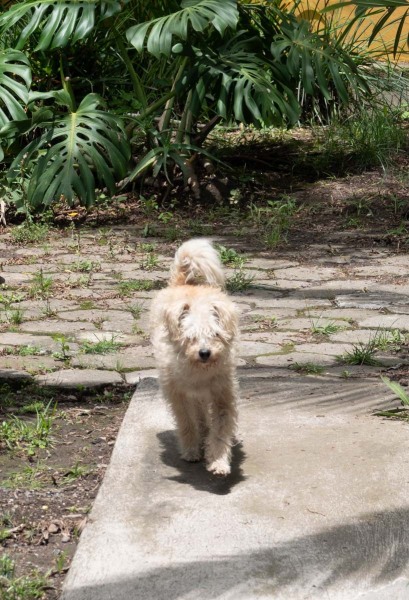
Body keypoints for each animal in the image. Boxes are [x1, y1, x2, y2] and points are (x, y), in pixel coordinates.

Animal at [151, 239, 239, 478]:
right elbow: (187, 423)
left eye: (215, 334)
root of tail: (184, 283)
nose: (205, 352)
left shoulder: (222, 397)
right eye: (190, 337)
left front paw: (218, 461)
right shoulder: (178, 396)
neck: (200, 372)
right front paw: (191, 450)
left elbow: (220, 430)